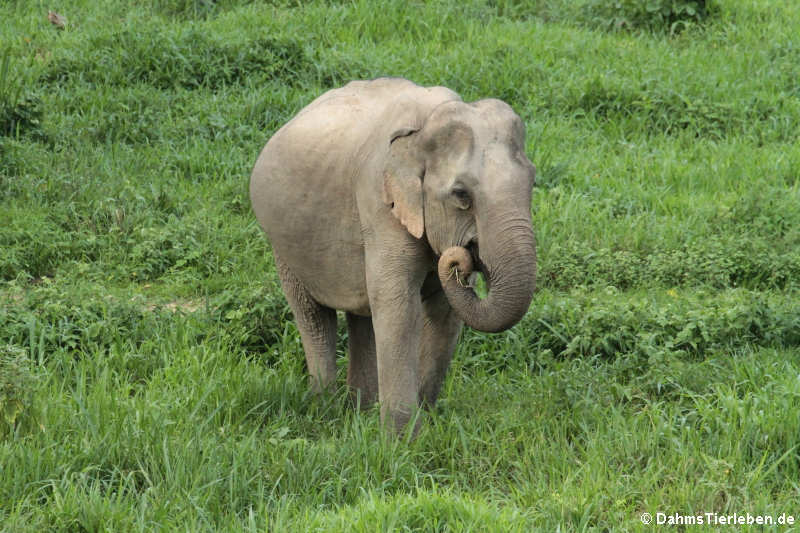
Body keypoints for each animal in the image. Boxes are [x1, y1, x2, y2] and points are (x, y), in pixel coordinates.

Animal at [250, 76, 536, 432]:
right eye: (461, 195)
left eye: (533, 184)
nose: (463, 255)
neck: (425, 127)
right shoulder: (379, 204)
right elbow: (398, 305)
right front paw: (402, 438)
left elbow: (444, 311)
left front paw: (425, 421)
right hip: (283, 243)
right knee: (313, 314)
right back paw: (326, 408)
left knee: (361, 316)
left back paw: (358, 410)